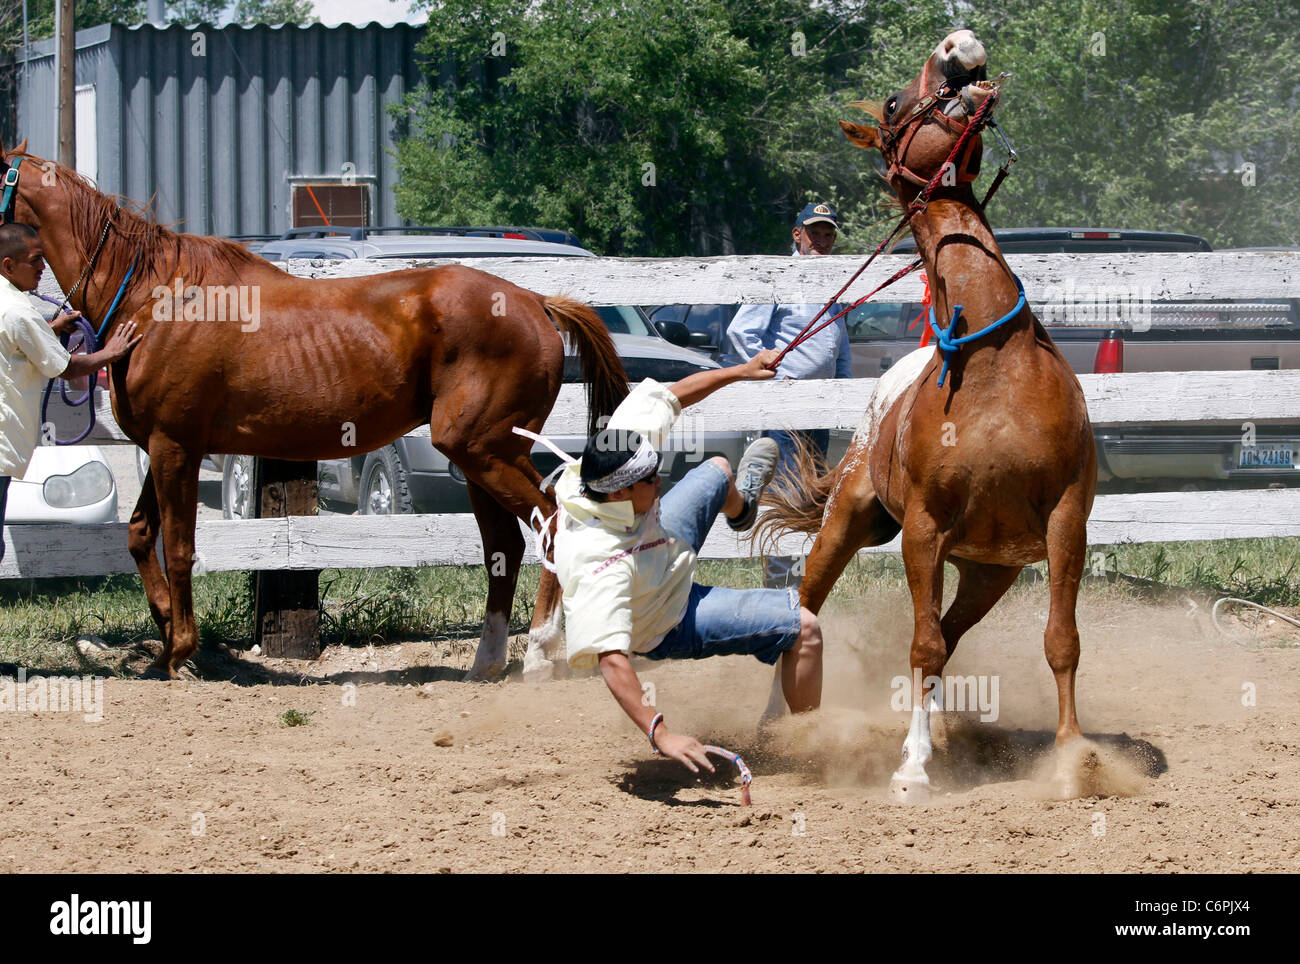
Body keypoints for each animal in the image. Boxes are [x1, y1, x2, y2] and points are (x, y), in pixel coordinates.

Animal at [2, 141, 624, 685]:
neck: (157, 298)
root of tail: (536, 302)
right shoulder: (162, 448)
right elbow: (138, 536)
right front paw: (164, 644)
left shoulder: (175, 445)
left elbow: (177, 547)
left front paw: (181, 651)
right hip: (480, 458)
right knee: (506, 547)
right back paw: (487, 664)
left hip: (484, 450)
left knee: (551, 525)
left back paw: (541, 653)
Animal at [759, 28, 1097, 800]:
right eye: (893, 102)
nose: (957, 44)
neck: (993, 362)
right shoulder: (923, 531)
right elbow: (921, 644)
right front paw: (911, 767)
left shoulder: (1066, 519)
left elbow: (1059, 641)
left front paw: (1074, 755)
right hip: (847, 521)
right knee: (807, 610)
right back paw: (780, 730)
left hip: (988, 570)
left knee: (953, 631)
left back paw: (939, 733)